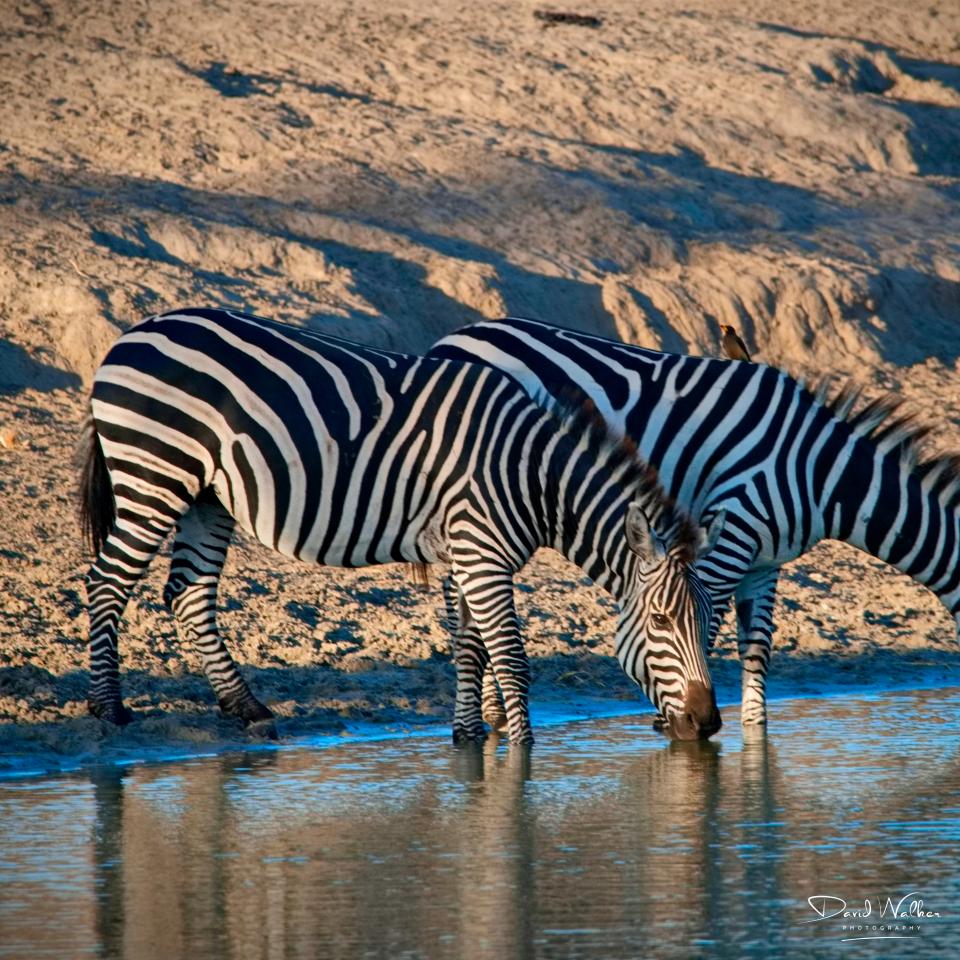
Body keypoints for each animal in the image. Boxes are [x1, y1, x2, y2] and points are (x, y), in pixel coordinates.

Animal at [78, 307, 725, 744]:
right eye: (662, 621)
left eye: (709, 621)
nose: (708, 724)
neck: (531, 473)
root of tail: (132, 333)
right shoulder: (482, 554)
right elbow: (511, 658)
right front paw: (522, 753)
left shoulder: (466, 554)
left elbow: (470, 646)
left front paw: (469, 737)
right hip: (154, 473)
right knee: (107, 583)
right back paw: (109, 708)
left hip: (207, 496)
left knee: (188, 594)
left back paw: (246, 707)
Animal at [427, 316, 960, 726]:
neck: (823, 472)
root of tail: (450, 339)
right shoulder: (735, 527)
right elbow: (705, 621)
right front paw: (685, 723)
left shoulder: (767, 560)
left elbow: (757, 648)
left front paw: (754, 743)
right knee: (462, 597)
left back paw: (493, 713)